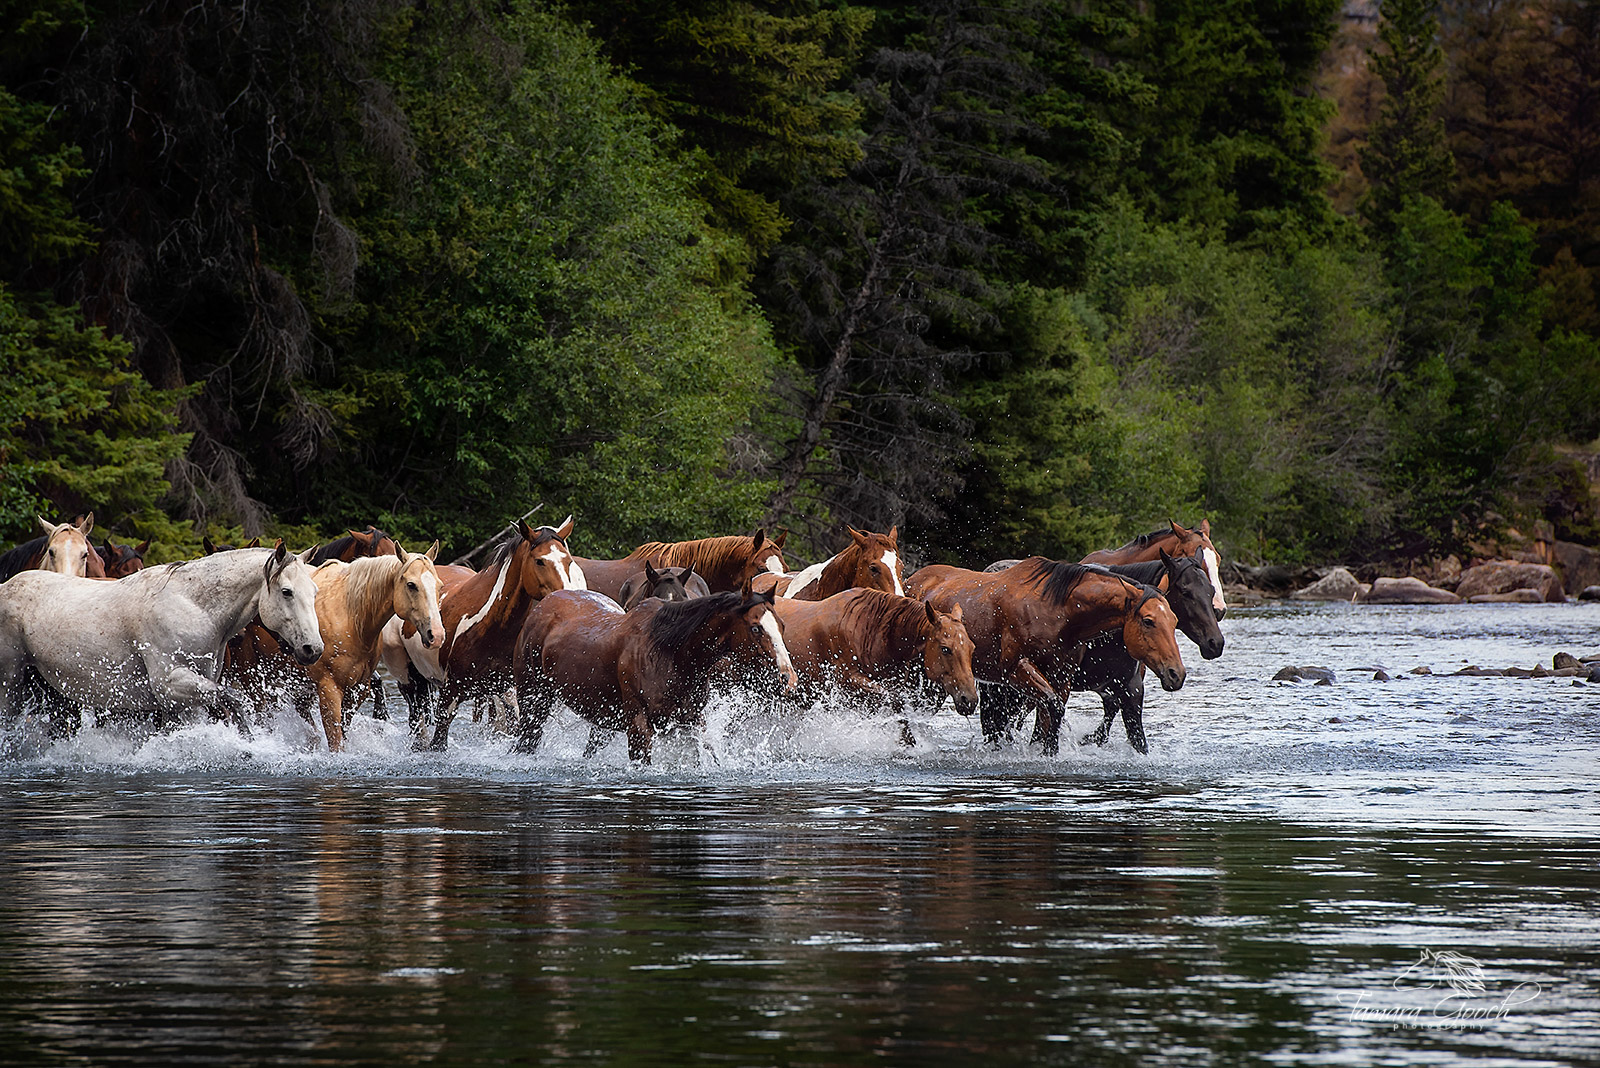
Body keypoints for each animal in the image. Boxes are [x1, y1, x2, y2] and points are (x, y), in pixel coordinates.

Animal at [0, 543, 322, 735]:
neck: (194, 606)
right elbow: (233, 701)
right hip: (10, 684)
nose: (313, 649)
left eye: (315, 590)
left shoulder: (187, 696)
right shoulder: (172, 685)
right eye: (287, 592)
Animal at [271, 543, 443, 751]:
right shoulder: (329, 690)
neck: (350, 618)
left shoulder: (358, 688)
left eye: (439, 585)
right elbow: (336, 740)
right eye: (411, 585)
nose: (436, 635)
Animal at [384, 517, 584, 749]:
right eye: (540, 561)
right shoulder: (450, 694)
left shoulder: (507, 691)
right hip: (407, 680)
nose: (570, 597)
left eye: (568, 561)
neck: (491, 628)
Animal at [511, 587, 798, 763]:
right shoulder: (639, 725)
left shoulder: (691, 722)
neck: (670, 654)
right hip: (533, 702)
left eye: (782, 625)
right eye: (756, 628)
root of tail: (542, 606)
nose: (788, 678)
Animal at [906, 559, 1186, 754]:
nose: (1176, 673)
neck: (1061, 613)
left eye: (1174, 620)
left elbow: (1050, 715)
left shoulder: (1062, 676)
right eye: (1148, 620)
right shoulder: (1016, 669)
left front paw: (1049, 751)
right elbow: (1053, 709)